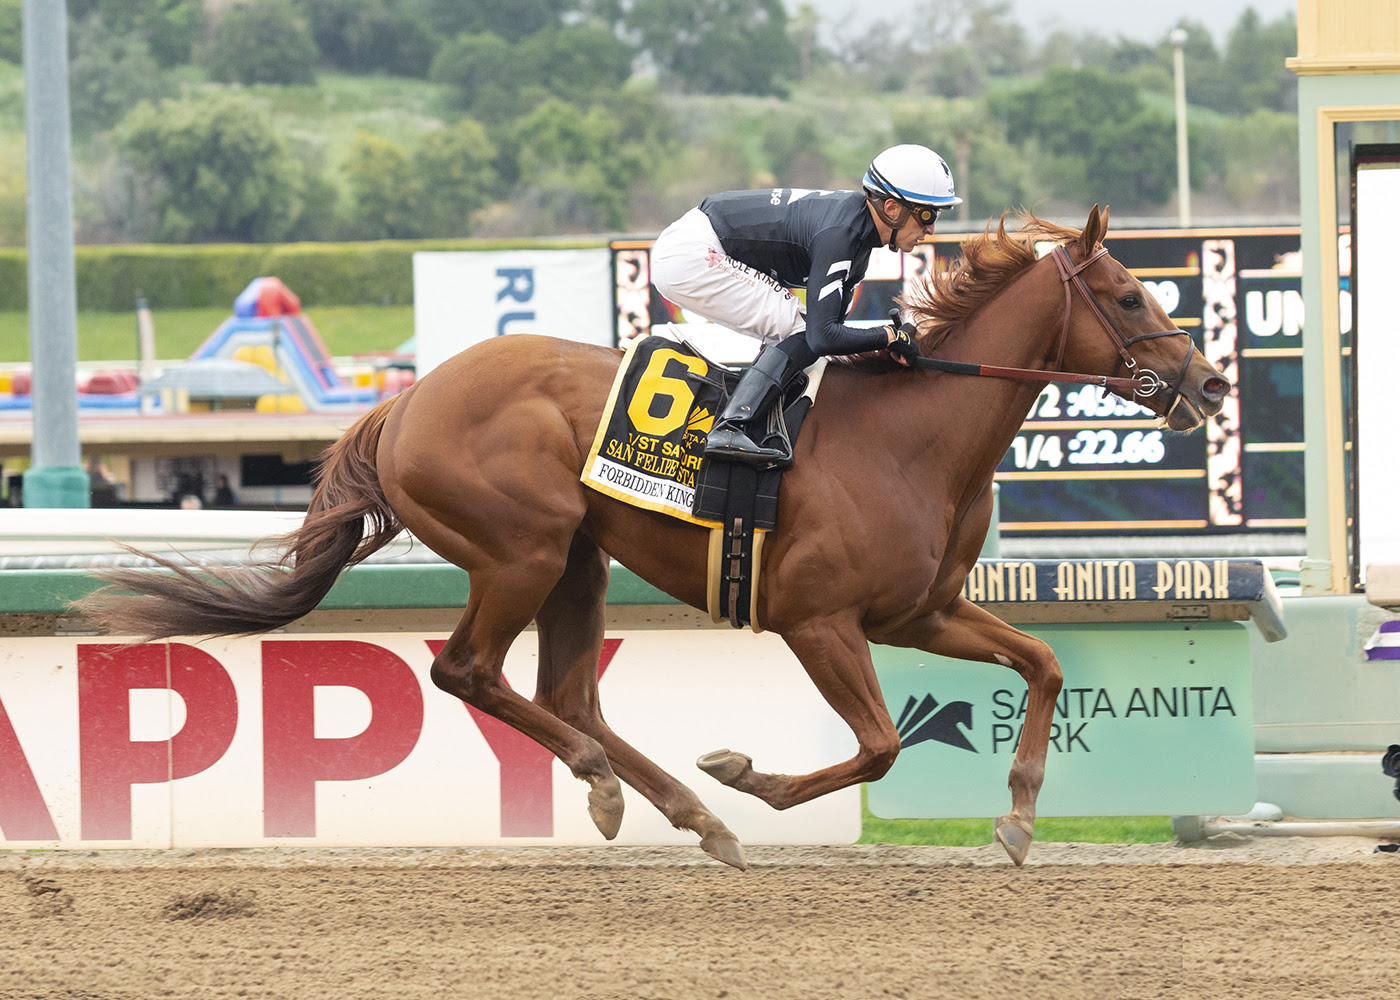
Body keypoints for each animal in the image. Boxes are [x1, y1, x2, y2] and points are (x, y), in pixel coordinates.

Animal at [78, 206, 1231, 870]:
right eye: (1130, 292)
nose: (1211, 382)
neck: (911, 435)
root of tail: (402, 402)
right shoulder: (819, 620)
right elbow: (879, 744)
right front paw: (747, 775)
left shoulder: (924, 611)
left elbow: (1041, 665)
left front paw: (1020, 817)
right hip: (522, 549)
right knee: (470, 673)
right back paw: (628, 785)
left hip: (577, 560)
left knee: (566, 693)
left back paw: (674, 807)